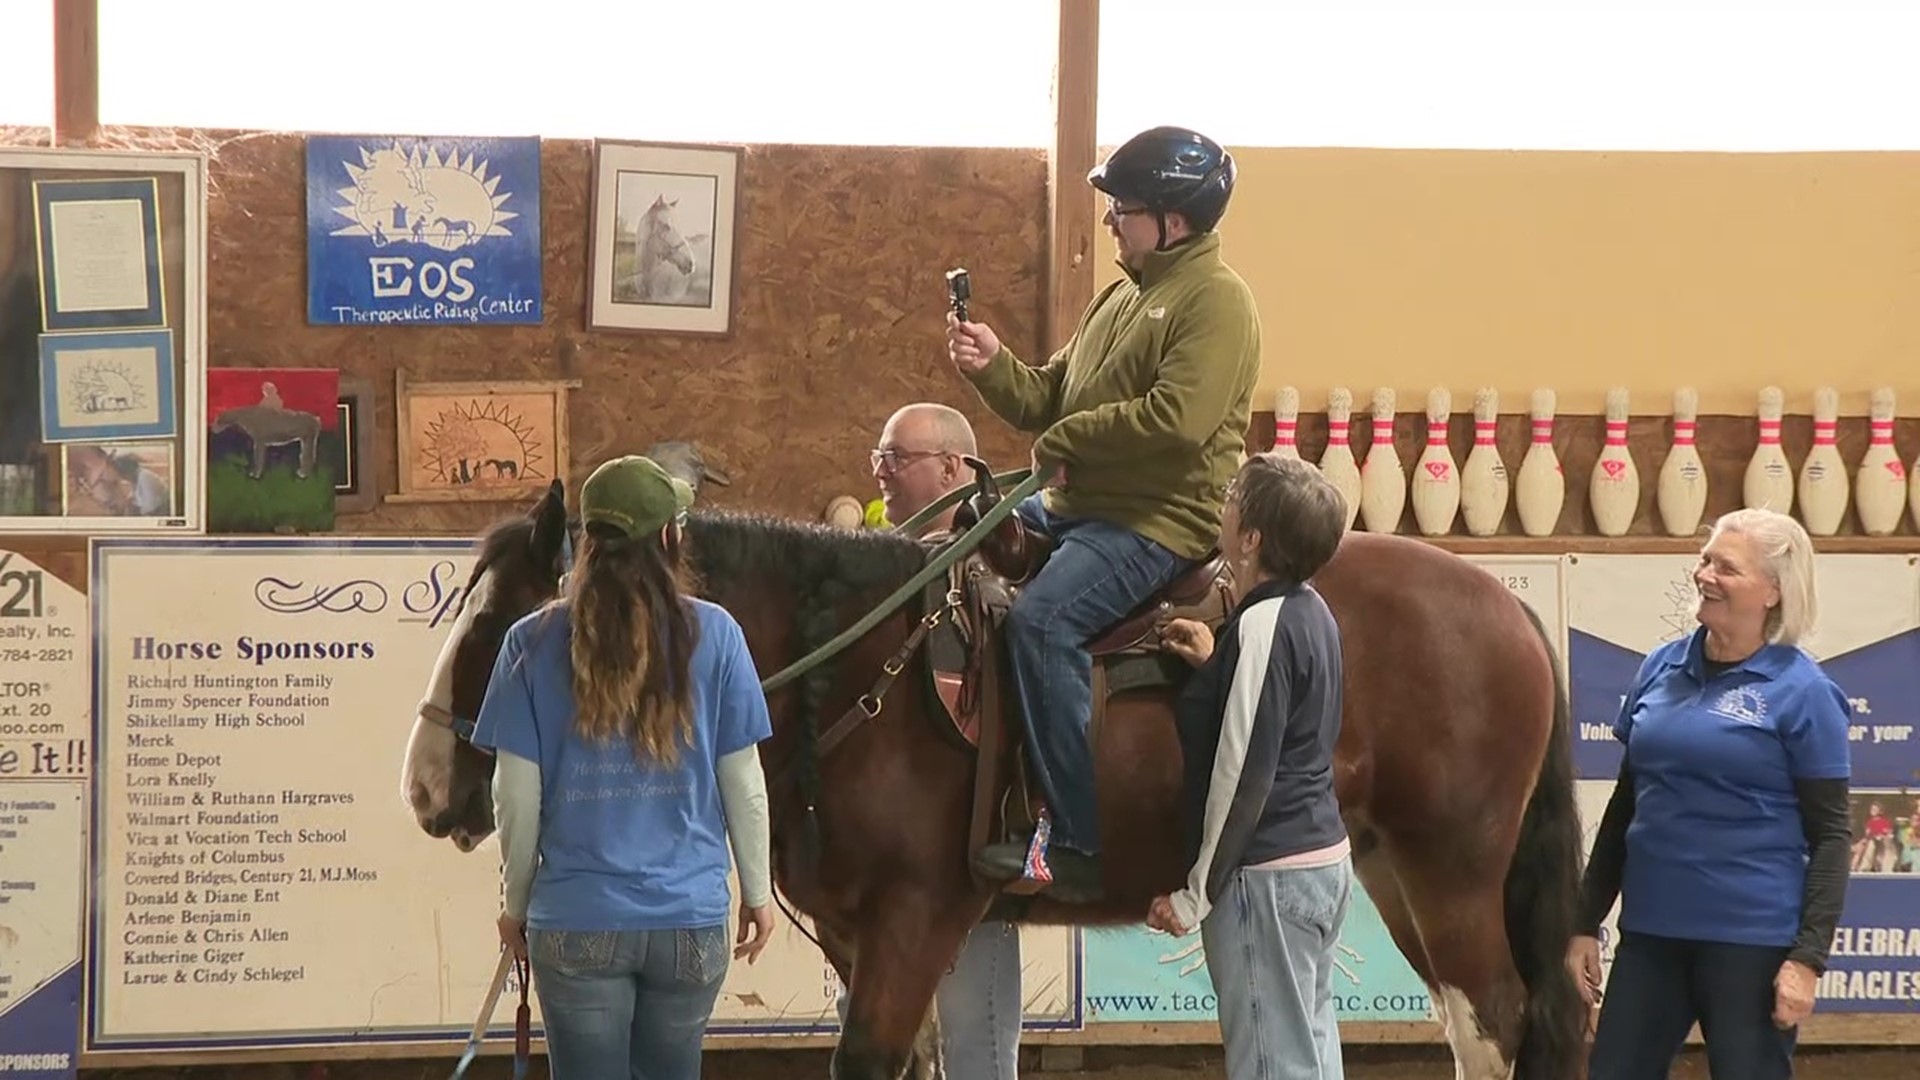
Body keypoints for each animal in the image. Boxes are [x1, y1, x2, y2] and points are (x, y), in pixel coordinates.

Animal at [397, 476, 1582, 1076]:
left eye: (507, 628)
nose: (422, 784)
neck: (850, 672)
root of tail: (1508, 608)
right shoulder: (861, 932)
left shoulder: (921, 917)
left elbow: (871, 1060)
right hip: (1388, 867)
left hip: (1451, 870)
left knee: (1503, 1019)